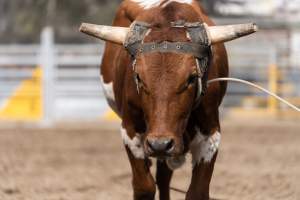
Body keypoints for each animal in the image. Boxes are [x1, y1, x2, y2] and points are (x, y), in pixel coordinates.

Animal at [80, 0, 258, 199]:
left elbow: (197, 191)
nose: (160, 144)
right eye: (139, 77)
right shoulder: (130, 131)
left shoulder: (210, 136)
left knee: (164, 178)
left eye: (191, 78)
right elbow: (144, 187)